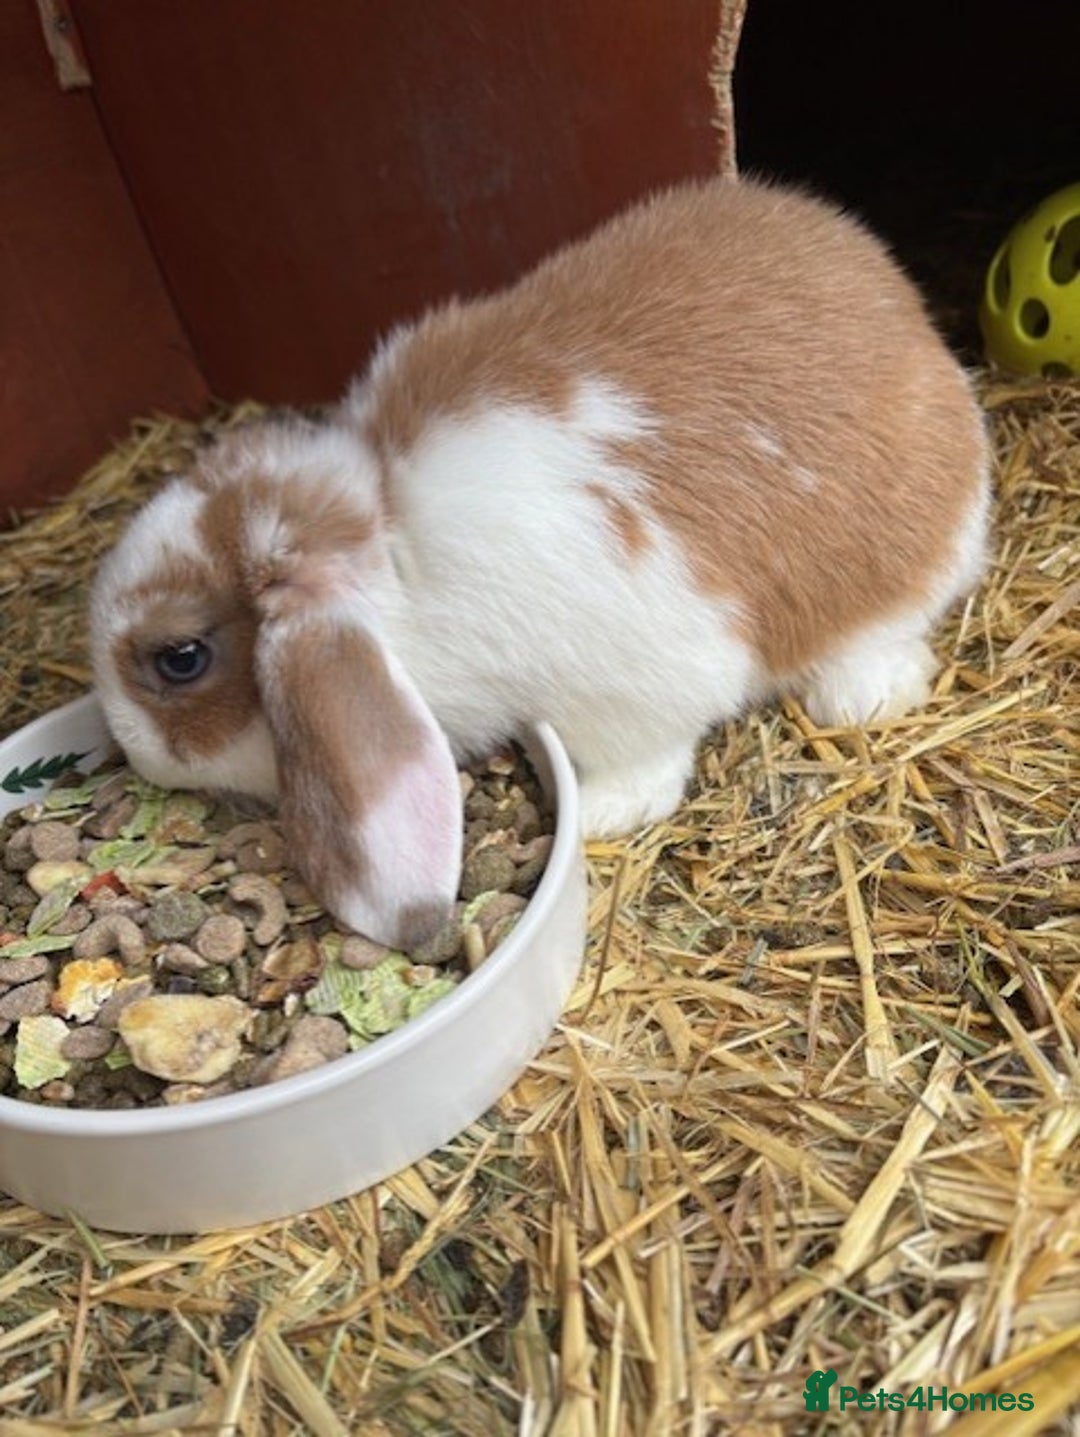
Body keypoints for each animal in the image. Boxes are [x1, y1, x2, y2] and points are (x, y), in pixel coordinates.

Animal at [90, 175, 991, 949]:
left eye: (179, 658)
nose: (131, 749)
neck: (392, 551)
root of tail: (903, 311)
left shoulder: (631, 689)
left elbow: (646, 757)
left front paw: (600, 811)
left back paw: (862, 693)